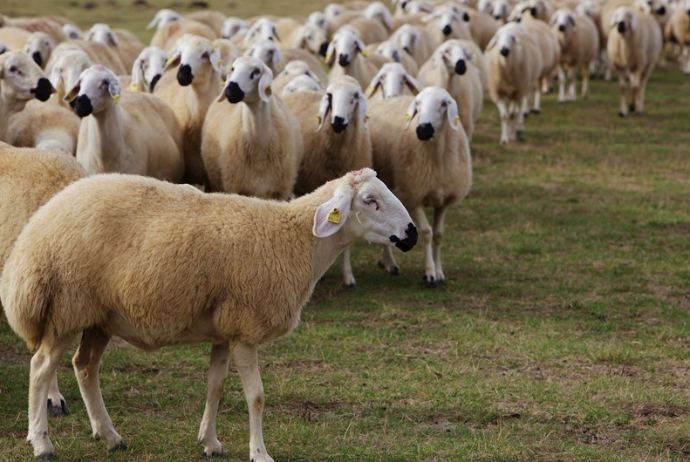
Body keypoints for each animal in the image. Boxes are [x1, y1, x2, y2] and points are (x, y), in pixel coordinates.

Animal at [368, 84, 470, 284]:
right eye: (418, 104)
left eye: (444, 104)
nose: (423, 129)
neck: (437, 158)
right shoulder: (413, 197)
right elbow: (426, 232)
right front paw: (429, 273)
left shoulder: (444, 202)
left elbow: (438, 234)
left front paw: (439, 271)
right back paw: (390, 264)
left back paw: (385, 262)